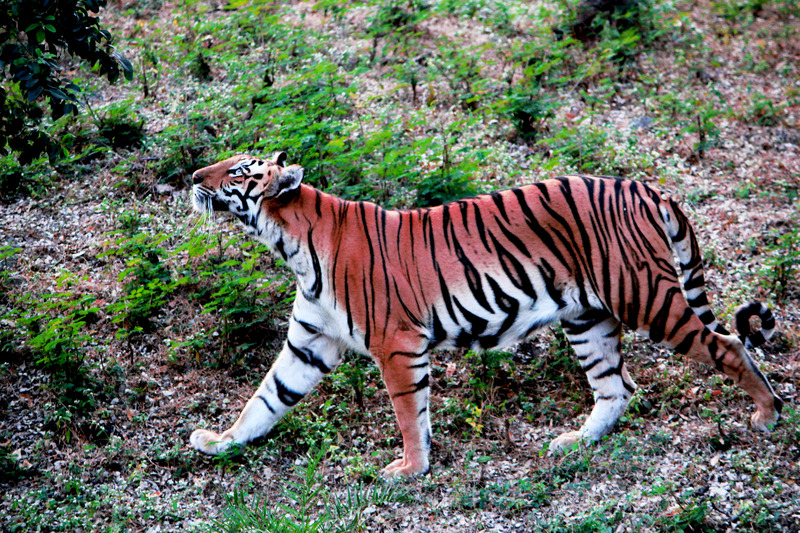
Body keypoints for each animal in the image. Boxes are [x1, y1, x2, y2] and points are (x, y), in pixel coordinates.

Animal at [189, 152, 780, 476]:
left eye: (237, 171)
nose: (194, 174)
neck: (289, 244)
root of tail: (643, 185)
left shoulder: (397, 345)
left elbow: (409, 414)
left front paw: (409, 469)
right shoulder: (309, 341)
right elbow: (265, 399)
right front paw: (221, 442)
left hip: (645, 296)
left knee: (728, 346)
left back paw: (767, 415)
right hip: (588, 318)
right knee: (616, 387)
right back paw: (575, 442)